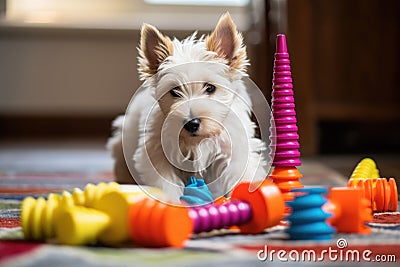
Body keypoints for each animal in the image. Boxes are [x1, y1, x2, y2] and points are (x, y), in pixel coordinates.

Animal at [108, 12, 268, 201]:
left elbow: (242, 174)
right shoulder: (156, 154)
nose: (192, 124)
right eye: (175, 91)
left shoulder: (235, 150)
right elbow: (165, 183)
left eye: (210, 88)